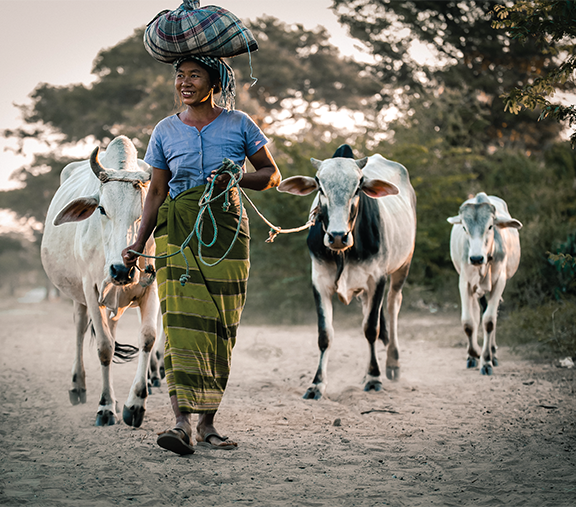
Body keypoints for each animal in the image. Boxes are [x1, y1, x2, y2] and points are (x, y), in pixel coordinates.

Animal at [41, 136, 160, 428]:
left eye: (144, 212)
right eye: (102, 209)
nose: (121, 270)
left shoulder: (151, 286)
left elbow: (148, 338)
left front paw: (135, 404)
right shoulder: (90, 289)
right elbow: (104, 347)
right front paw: (105, 407)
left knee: (112, 329)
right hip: (79, 296)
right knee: (80, 329)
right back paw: (78, 387)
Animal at [278, 144, 416, 400]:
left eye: (358, 186)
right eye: (319, 186)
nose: (337, 236)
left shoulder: (377, 279)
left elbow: (371, 329)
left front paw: (374, 378)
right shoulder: (319, 281)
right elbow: (325, 335)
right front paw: (317, 384)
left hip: (403, 265)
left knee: (393, 307)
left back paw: (392, 364)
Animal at [448, 192, 524, 376]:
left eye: (490, 226)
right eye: (464, 228)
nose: (476, 258)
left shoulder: (500, 281)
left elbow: (489, 320)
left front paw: (487, 360)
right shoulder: (464, 282)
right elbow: (468, 322)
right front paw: (473, 354)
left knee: (491, 313)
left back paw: (493, 353)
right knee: (476, 313)